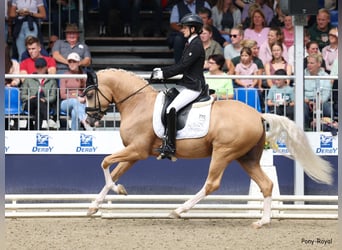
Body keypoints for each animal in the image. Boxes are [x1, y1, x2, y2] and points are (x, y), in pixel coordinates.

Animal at [82, 68, 332, 229]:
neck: (137, 103)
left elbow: (104, 162)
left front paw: (116, 190)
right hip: (247, 158)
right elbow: (114, 171)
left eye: (89, 93)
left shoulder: (138, 151)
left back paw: (179, 211)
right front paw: (97, 204)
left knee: (212, 184)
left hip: (223, 152)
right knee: (266, 184)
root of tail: (258, 114)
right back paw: (263, 221)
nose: (90, 119)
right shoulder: (134, 153)